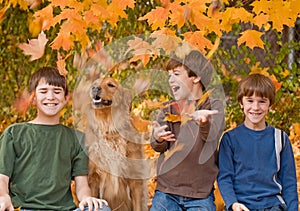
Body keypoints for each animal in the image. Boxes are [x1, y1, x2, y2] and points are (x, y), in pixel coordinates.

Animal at [79, 76, 149, 210]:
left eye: (111, 85)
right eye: (95, 83)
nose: (94, 88)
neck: (109, 129)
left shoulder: (135, 180)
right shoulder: (93, 178)